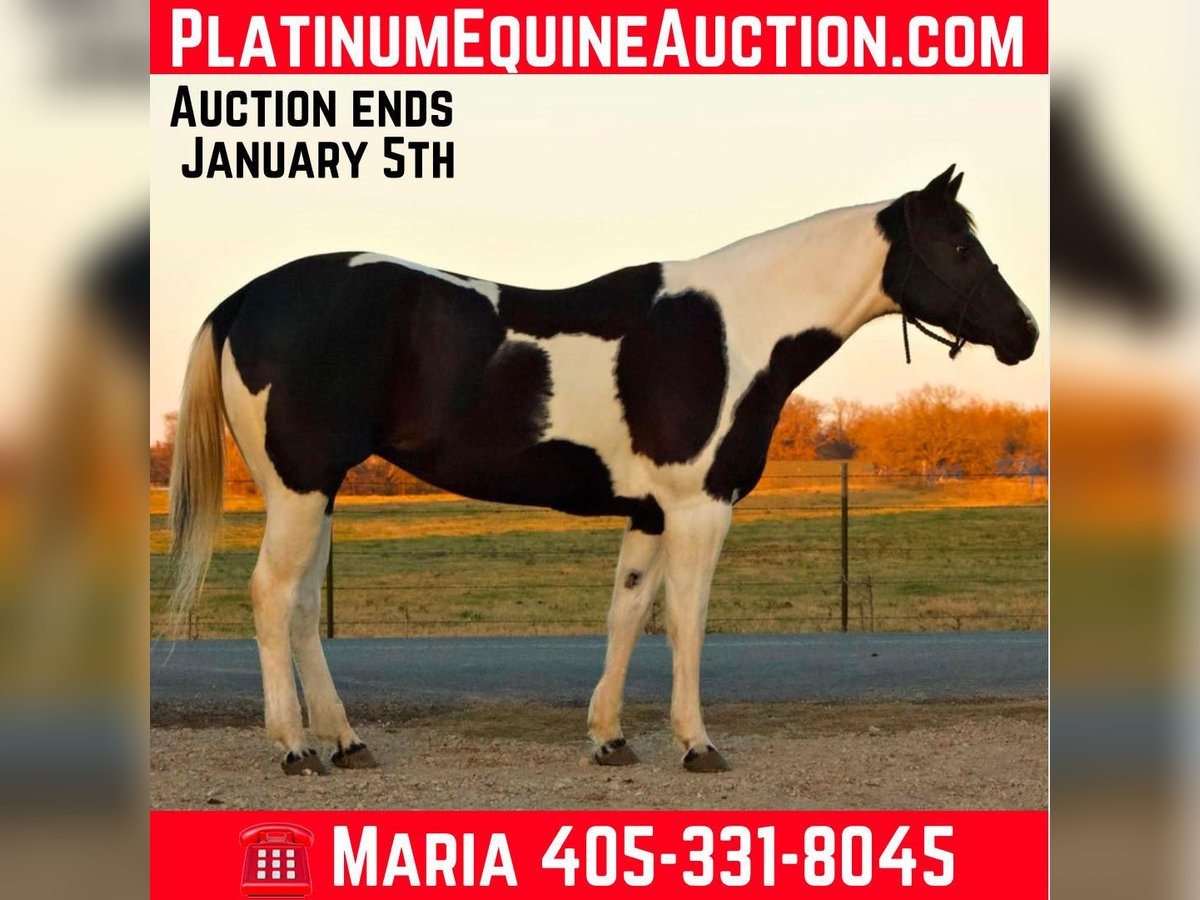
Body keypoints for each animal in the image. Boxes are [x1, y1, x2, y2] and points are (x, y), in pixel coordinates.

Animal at [167, 165, 1038, 775]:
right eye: (959, 246)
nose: (1024, 334)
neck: (735, 330)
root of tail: (247, 297)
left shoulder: (650, 510)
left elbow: (628, 614)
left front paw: (611, 739)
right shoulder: (699, 505)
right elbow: (685, 620)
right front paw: (696, 744)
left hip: (317, 491)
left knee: (300, 607)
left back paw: (346, 742)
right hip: (301, 487)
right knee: (271, 597)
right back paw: (294, 748)